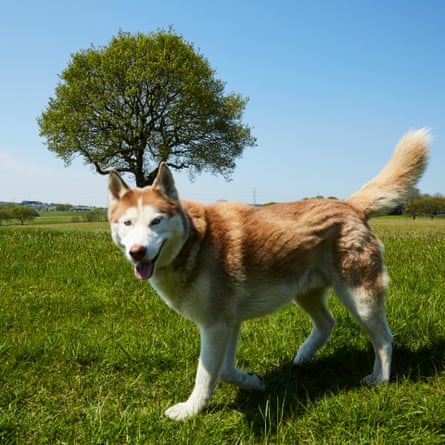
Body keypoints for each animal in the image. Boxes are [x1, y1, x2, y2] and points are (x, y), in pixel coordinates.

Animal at [107, 126, 430, 418]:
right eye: (127, 223)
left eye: (156, 221)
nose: (137, 252)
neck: (194, 243)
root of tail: (350, 205)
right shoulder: (228, 323)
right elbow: (225, 370)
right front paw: (253, 382)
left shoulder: (215, 325)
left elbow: (207, 374)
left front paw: (190, 410)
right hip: (305, 293)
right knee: (327, 323)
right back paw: (303, 356)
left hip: (359, 296)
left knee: (383, 338)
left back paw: (380, 379)